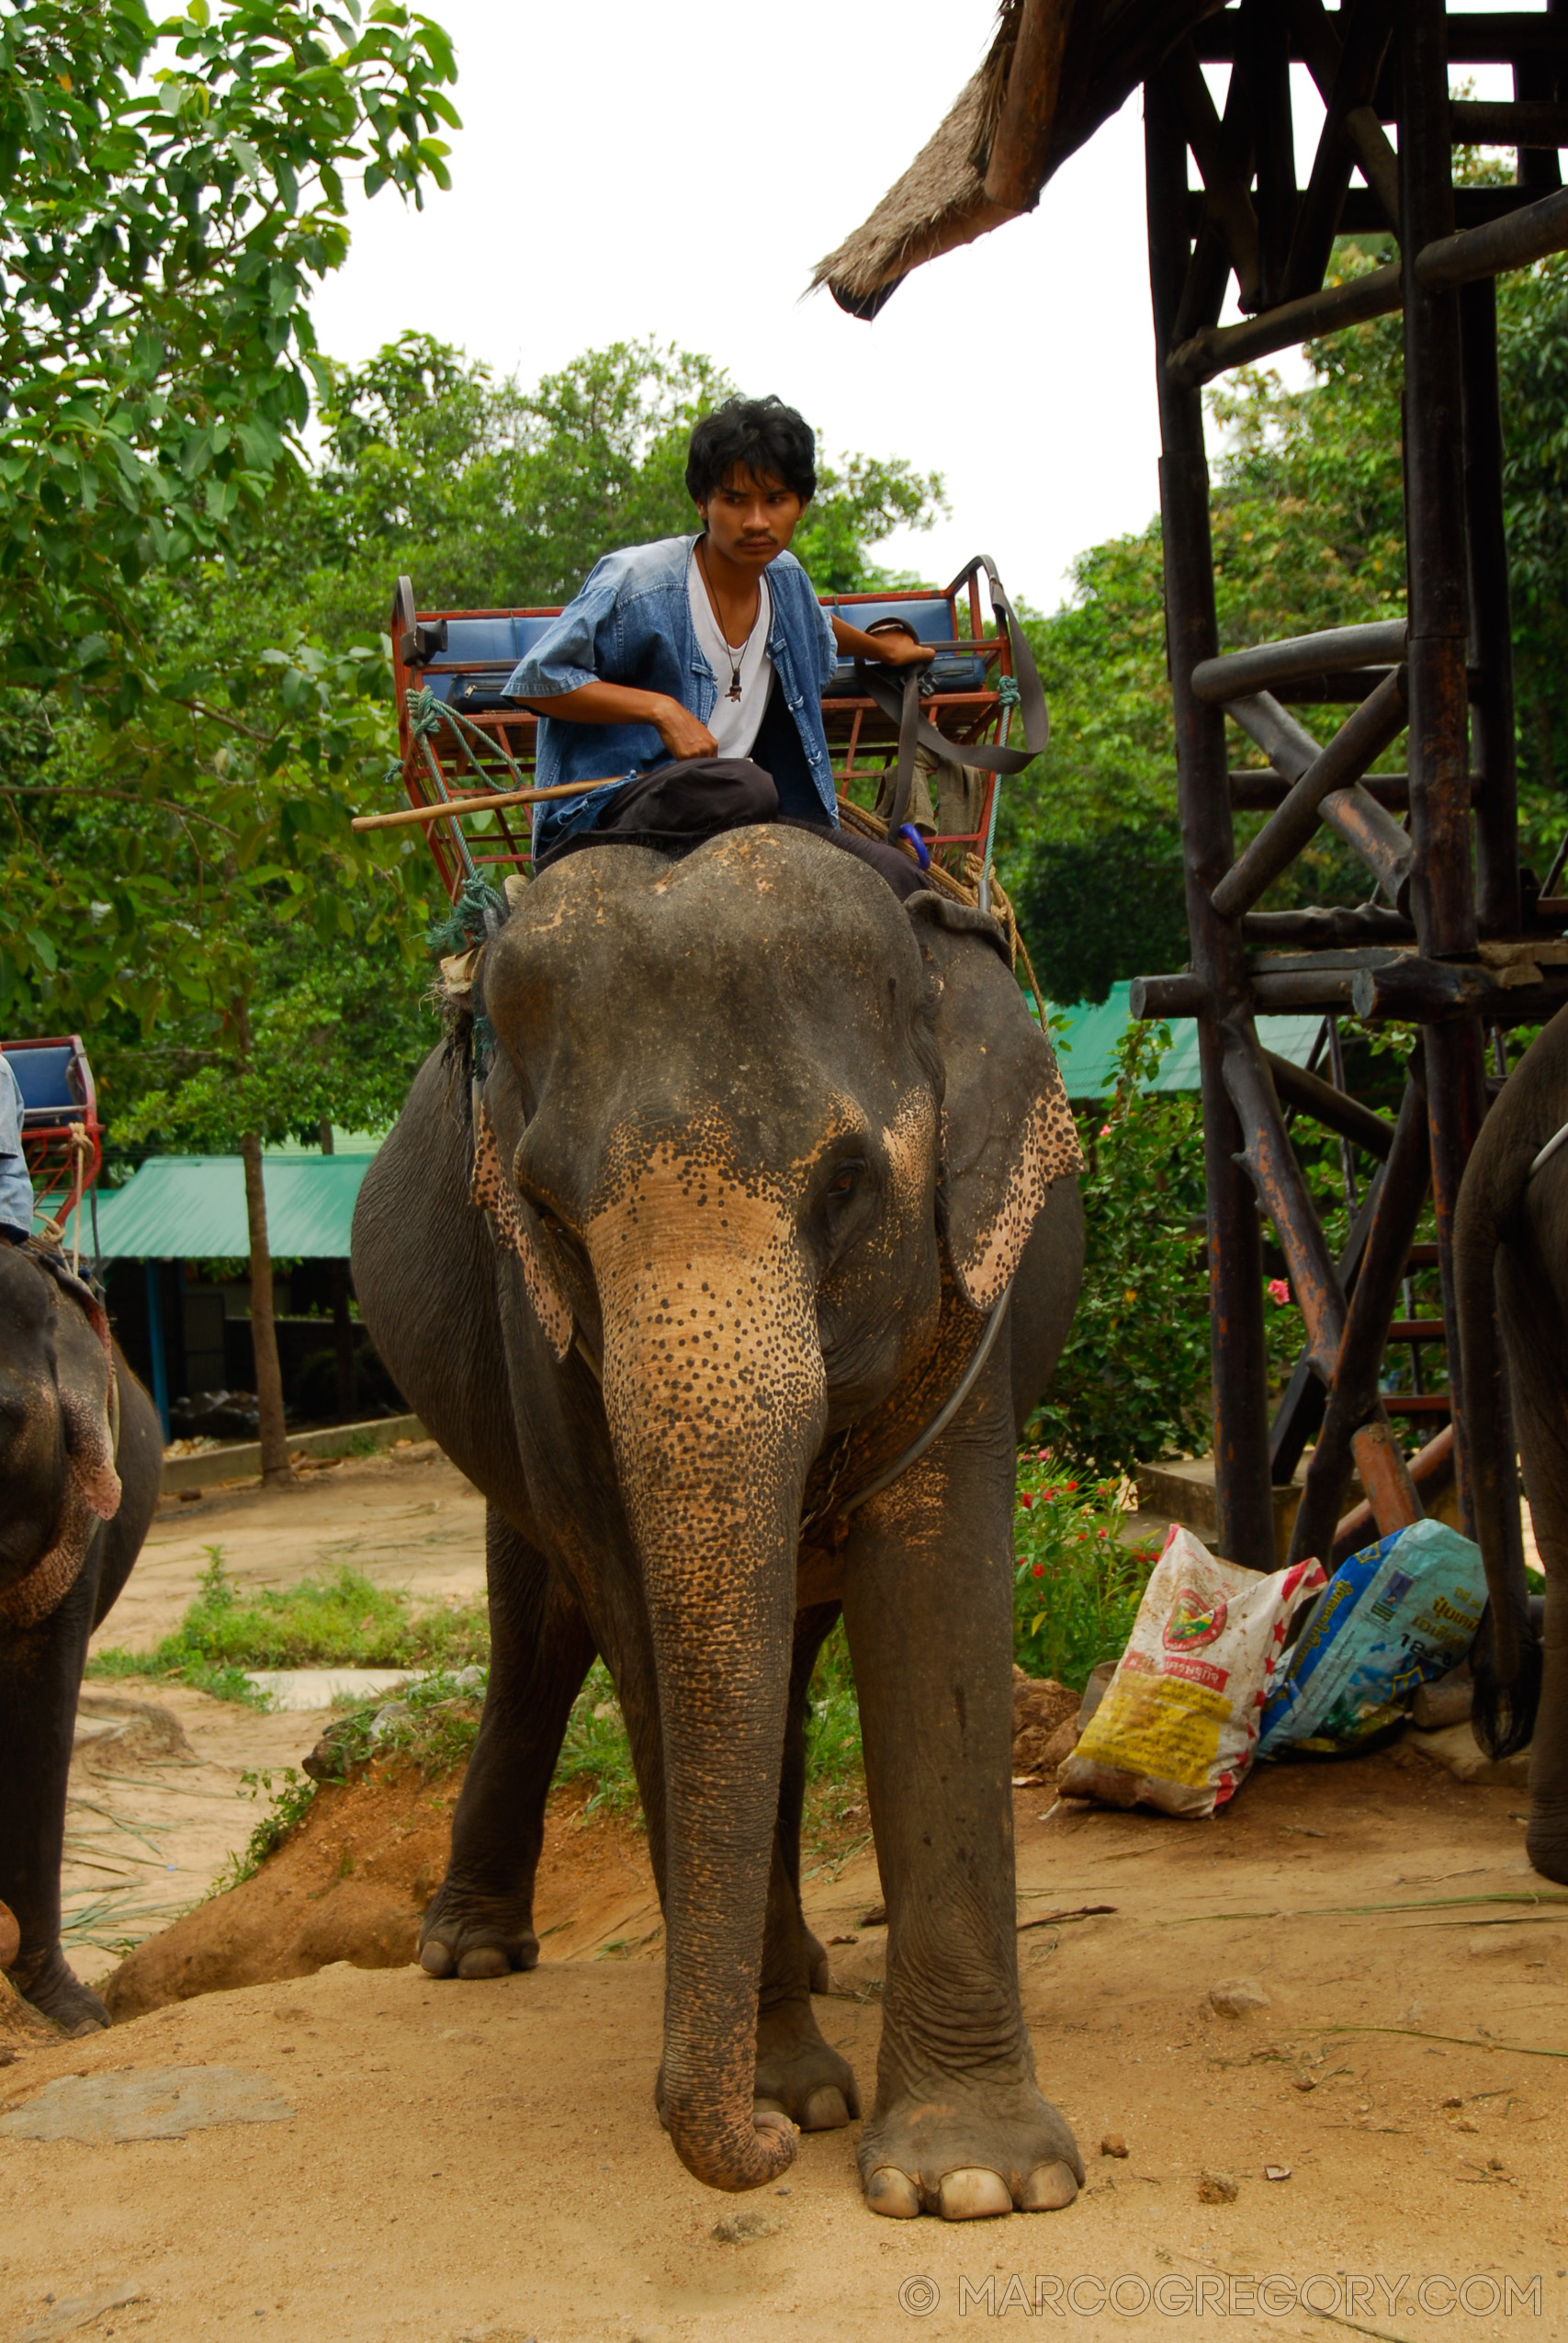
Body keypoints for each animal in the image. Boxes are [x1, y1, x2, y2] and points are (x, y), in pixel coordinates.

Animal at [354, 833, 1087, 2221]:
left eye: (847, 1183)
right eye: (546, 1210)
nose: (753, 2139)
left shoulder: (966, 1286)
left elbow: (934, 1599)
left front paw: (970, 2182)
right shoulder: (544, 1341)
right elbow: (638, 1624)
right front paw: (794, 2100)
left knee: (775, 1661)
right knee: (541, 1634)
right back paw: (472, 1953)